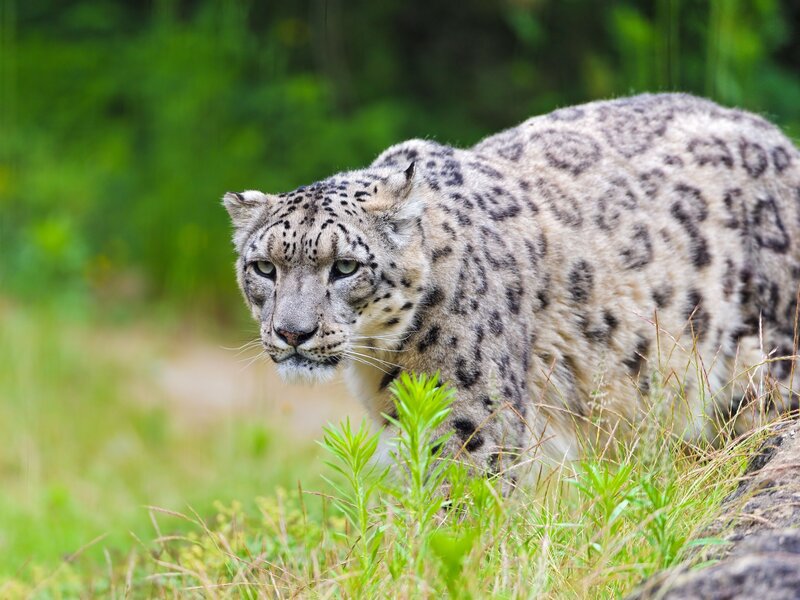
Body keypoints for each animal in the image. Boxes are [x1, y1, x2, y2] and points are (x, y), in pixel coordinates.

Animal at [223, 93, 800, 485]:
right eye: (264, 267)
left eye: (344, 266)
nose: (292, 332)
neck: (383, 364)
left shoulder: (470, 419)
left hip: (768, 361)